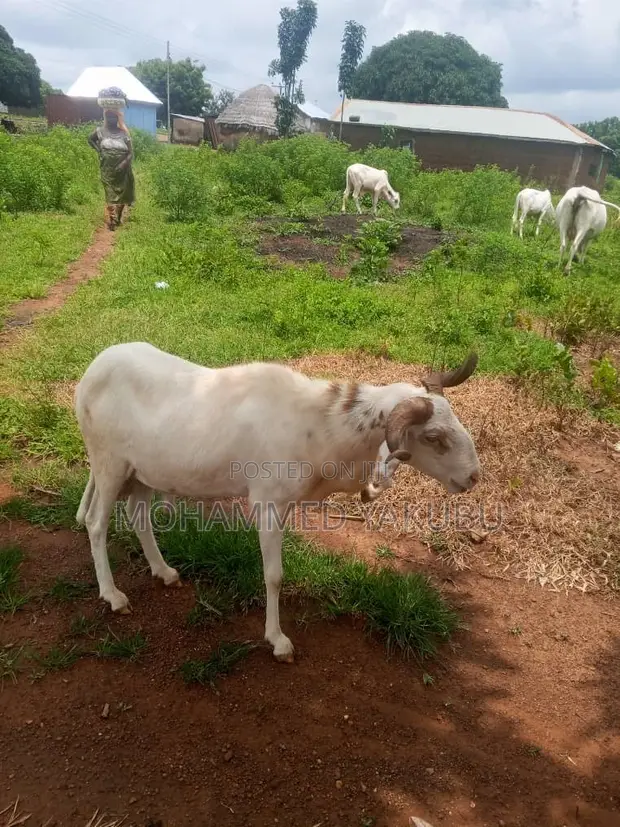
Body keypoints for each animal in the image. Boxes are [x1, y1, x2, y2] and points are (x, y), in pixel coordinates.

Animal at [74, 342, 481, 663]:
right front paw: (278, 641)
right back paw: (113, 596)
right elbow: (274, 576)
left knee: (138, 517)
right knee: (95, 522)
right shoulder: (268, 504)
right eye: (434, 437)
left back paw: (164, 572)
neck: (322, 426)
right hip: (109, 465)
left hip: (142, 473)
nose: (474, 477)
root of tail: (91, 371)